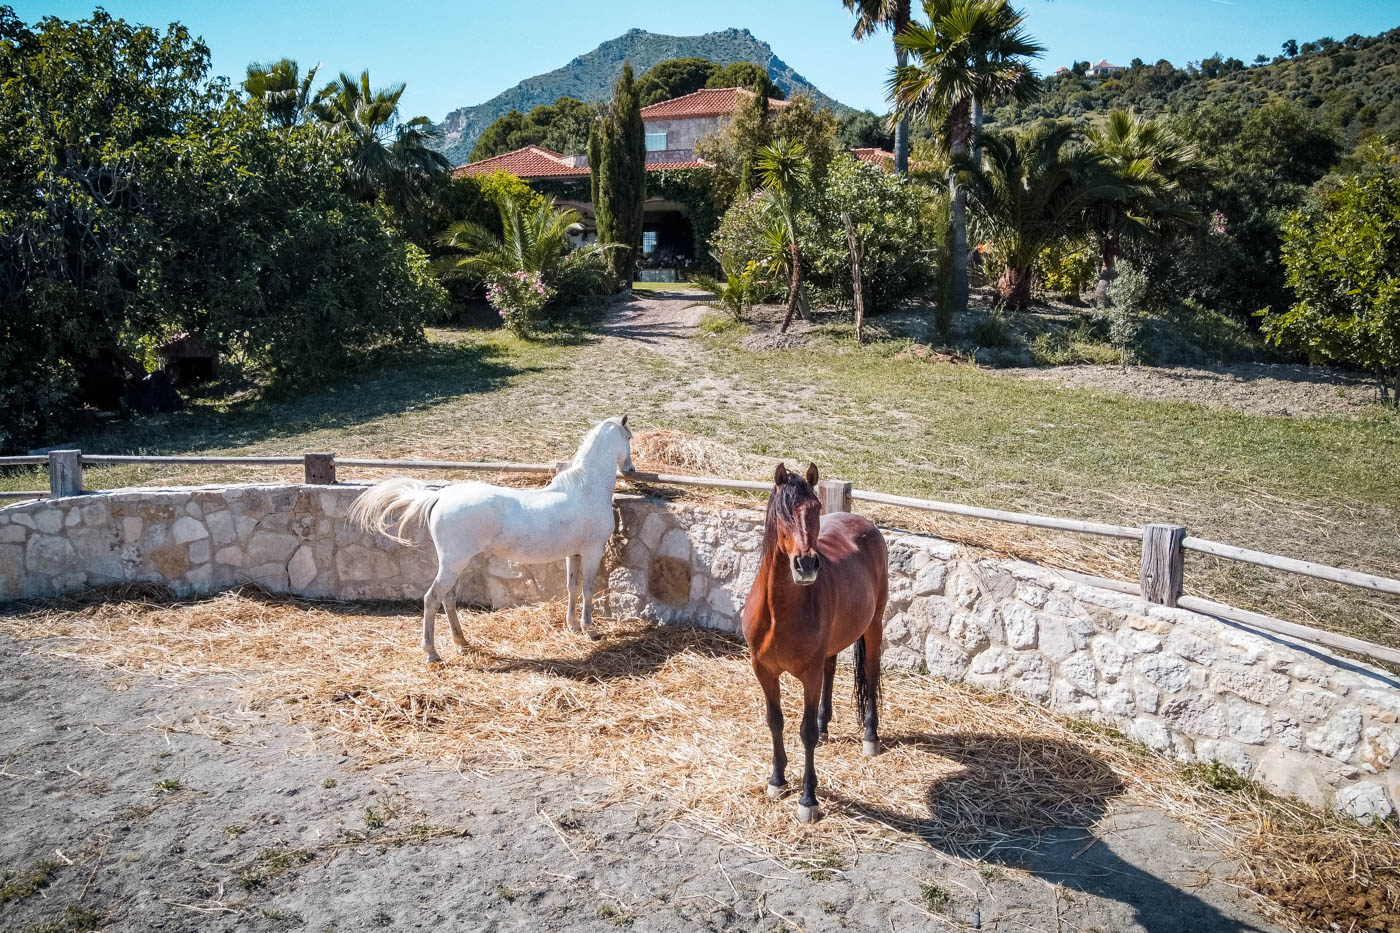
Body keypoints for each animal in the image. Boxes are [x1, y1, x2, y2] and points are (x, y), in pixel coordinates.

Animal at [346, 416, 634, 662]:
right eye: (629, 437)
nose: (631, 469)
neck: (587, 489)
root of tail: (440, 496)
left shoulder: (573, 553)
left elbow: (572, 587)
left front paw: (573, 626)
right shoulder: (592, 551)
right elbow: (587, 589)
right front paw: (590, 629)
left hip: (458, 565)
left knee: (448, 599)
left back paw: (462, 642)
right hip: (453, 565)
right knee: (432, 598)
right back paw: (432, 653)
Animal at [741, 462, 889, 823]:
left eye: (815, 508)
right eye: (783, 513)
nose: (806, 564)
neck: (778, 613)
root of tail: (864, 524)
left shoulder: (808, 675)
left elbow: (803, 731)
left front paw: (808, 799)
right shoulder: (763, 671)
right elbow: (775, 722)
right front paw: (777, 780)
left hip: (874, 625)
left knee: (871, 673)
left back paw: (870, 737)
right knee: (831, 668)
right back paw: (825, 729)